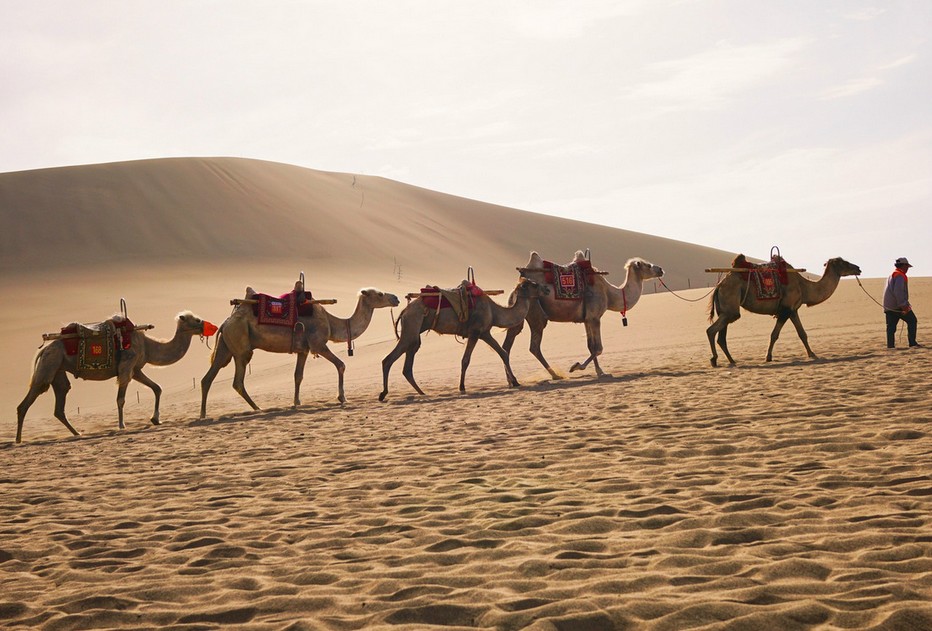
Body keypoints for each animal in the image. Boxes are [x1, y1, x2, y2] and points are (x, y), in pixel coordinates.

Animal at [15, 312, 217, 444]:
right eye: (197, 319)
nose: (211, 326)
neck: (148, 345)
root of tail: (43, 350)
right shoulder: (127, 366)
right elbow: (121, 399)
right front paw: (121, 425)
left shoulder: (136, 369)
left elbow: (157, 388)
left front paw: (156, 419)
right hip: (48, 366)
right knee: (26, 403)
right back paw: (18, 439)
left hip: (58, 371)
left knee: (60, 403)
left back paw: (77, 433)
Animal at [200, 288, 396, 418]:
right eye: (379, 294)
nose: (395, 298)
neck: (332, 323)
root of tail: (225, 323)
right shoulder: (318, 345)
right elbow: (341, 364)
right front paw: (342, 398)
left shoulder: (303, 350)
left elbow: (298, 376)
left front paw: (296, 403)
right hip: (241, 347)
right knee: (237, 381)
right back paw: (258, 408)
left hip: (225, 347)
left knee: (208, 377)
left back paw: (203, 414)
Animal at [378, 276, 548, 400]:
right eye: (533, 284)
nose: (546, 288)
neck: (494, 311)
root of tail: (404, 310)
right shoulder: (475, 332)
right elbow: (466, 360)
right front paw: (462, 387)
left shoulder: (485, 333)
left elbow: (503, 353)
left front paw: (515, 381)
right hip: (411, 327)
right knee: (388, 359)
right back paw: (383, 394)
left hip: (414, 332)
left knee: (407, 365)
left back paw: (422, 392)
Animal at [502, 252, 664, 380]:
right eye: (648, 265)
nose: (661, 269)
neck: (610, 293)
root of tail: (516, 287)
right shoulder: (595, 317)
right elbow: (598, 348)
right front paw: (576, 366)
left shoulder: (587, 319)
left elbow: (591, 346)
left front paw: (600, 372)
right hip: (536, 314)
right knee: (534, 347)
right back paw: (555, 375)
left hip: (518, 316)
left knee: (506, 346)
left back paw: (512, 381)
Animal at [708, 256, 868, 368]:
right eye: (844, 263)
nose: (858, 268)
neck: (804, 286)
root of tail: (719, 286)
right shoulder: (785, 310)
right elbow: (774, 335)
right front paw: (768, 357)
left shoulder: (793, 310)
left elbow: (802, 333)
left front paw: (812, 354)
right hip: (731, 305)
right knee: (711, 330)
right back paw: (714, 360)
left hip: (725, 310)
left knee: (721, 336)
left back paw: (731, 360)